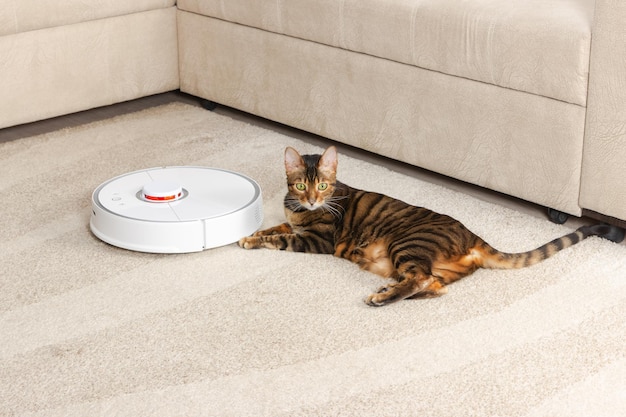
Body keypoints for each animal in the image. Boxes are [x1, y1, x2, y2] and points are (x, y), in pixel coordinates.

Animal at [236, 146, 620, 306]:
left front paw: (251, 241)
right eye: (301, 185)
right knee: (433, 284)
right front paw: (253, 233)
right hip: (435, 268)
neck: (299, 211)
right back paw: (390, 289)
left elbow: (280, 240)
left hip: (406, 243)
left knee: (420, 278)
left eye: (325, 185)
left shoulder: (318, 241)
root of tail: (474, 237)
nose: (314, 200)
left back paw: (381, 298)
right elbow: (276, 229)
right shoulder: (294, 223)